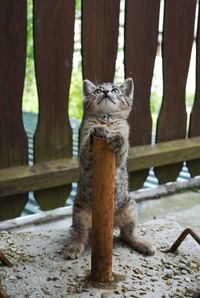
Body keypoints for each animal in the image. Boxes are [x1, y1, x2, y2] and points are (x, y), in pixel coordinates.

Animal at [65, 78, 155, 260]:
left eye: (115, 90)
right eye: (98, 91)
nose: (106, 92)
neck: (107, 120)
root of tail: (110, 223)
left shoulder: (121, 156)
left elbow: (123, 144)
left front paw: (118, 139)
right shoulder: (84, 156)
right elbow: (87, 145)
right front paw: (96, 131)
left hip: (130, 208)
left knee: (128, 234)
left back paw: (142, 243)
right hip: (80, 212)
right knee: (80, 234)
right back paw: (74, 247)